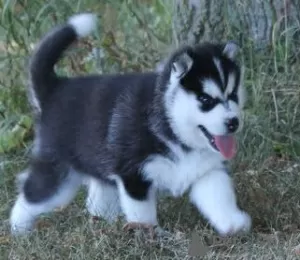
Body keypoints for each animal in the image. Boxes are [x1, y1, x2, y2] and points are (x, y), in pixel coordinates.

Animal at [9, 12, 251, 236]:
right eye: (205, 100)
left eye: (233, 95)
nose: (233, 122)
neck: (171, 126)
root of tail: (55, 88)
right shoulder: (133, 174)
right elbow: (141, 213)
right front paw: (147, 235)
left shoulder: (205, 169)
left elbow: (218, 196)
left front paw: (233, 223)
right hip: (58, 171)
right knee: (33, 195)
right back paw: (18, 230)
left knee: (98, 196)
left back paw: (105, 222)